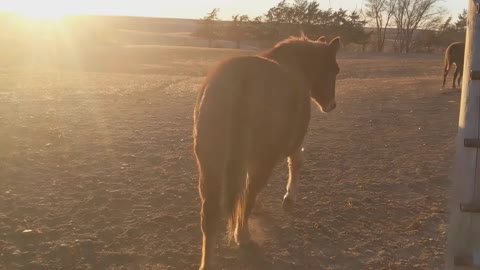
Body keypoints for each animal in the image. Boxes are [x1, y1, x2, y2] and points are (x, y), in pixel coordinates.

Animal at [192, 35, 342, 270]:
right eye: (335, 70)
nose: (331, 105)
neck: (295, 67)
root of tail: (243, 78)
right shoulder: (293, 142)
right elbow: (296, 163)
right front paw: (289, 199)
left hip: (210, 167)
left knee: (211, 215)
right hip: (261, 160)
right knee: (249, 194)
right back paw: (243, 236)